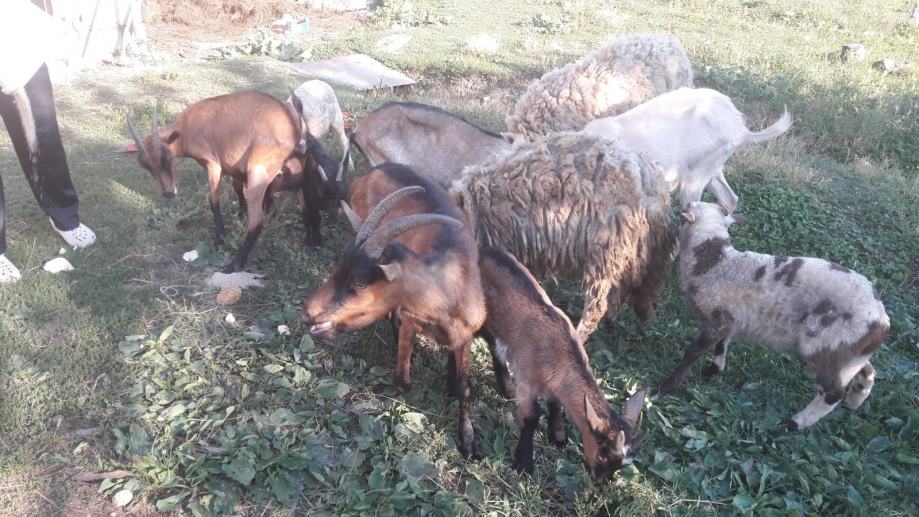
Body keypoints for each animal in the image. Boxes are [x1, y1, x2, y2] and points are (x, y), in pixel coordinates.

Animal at [116, 90, 339, 271]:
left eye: (168, 158)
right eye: (146, 166)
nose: (169, 192)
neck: (188, 128)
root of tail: (296, 128)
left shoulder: (213, 164)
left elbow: (213, 200)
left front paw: (219, 239)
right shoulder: (233, 164)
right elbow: (236, 187)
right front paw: (240, 212)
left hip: (259, 173)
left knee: (257, 222)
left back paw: (234, 265)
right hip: (300, 174)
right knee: (308, 209)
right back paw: (313, 242)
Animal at [301, 164, 486, 458]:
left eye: (360, 283)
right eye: (338, 267)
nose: (307, 312)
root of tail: (377, 169)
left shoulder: (466, 332)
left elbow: (463, 388)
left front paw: (468, 440)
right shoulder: (412, 320)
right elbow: (403, 378)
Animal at [450, 132, 676, 344]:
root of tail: (654, 188)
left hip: (608, 247)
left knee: (597, 305)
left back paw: (581, 333)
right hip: (633, 250)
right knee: (626, 286)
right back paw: (614, 318)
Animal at [478, 247, 648, 480]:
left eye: (620, 466)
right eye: (602, 457)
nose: (599, 482)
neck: (557, 348)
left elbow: (555, 403)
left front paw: (558, 436)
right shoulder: (527, 379)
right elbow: (531, 418)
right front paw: (524, 463)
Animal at [658, 202, 889, 430]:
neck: (715, 262)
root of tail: (882, 321)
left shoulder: (716, 319)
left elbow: (692, 352)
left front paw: (667, 386)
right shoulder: (729, 319)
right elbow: (721, 345)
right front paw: (715, 370)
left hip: (825, 346)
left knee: (832, 393)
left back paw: (794, 423)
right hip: (846, 351)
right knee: (867, 370)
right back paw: (856, 397)